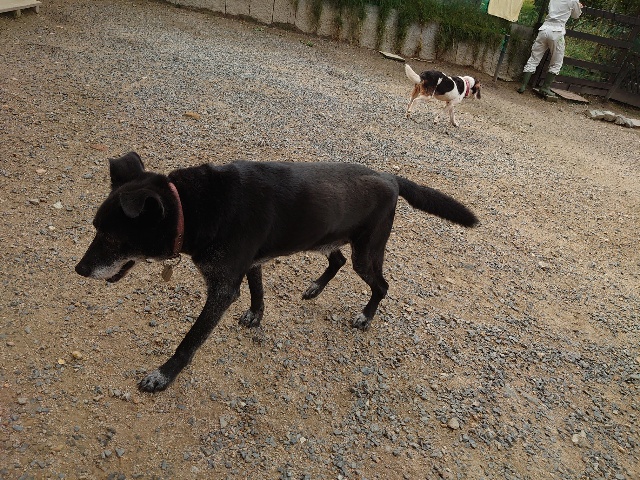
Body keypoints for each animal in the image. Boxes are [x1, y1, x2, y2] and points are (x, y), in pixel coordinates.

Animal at [75, 152, 479, 392]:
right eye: (95, 228)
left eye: (111, 237)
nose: (79, 269)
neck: (192, 207)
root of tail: (390, 177)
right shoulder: (249, 263)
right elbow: (257, 289)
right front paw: (256, 315)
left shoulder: (222, 287)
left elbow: (190, 340)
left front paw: (164, 374)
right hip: (327, 238)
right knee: (336, 261)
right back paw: (315, 288)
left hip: (367, 252)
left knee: (381, 284)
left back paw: (365, 316)